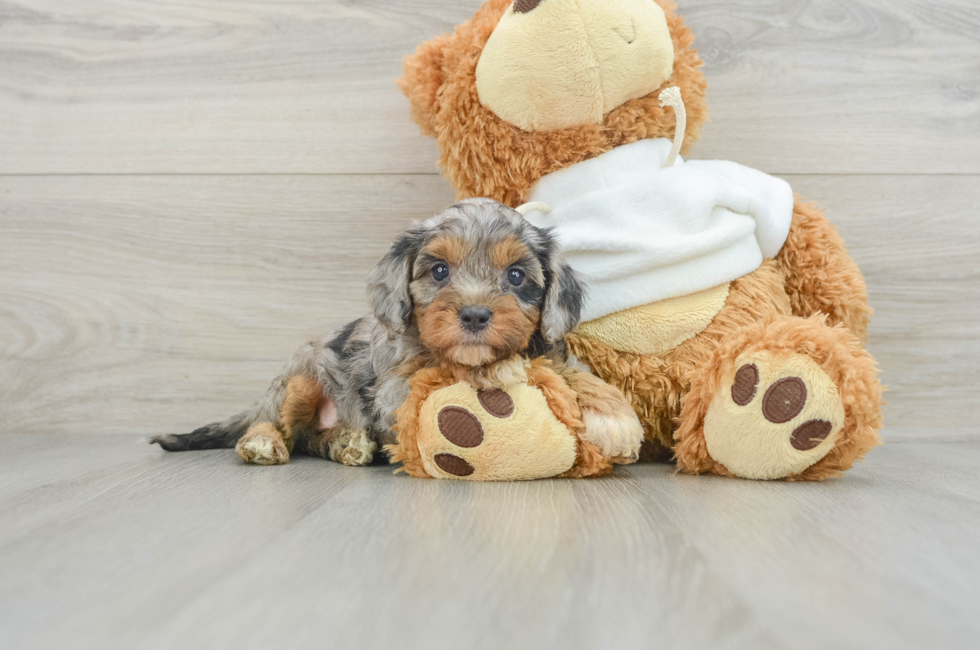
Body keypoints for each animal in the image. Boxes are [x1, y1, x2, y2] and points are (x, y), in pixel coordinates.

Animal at [151, 197, 644, 466]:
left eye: (517, 276)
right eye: (439, 271)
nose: (475, 316)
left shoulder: (552, 351)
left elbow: (575, 373)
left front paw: (615, 418)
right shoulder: (395, 389)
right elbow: (448, 371)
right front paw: (496, 371)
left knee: (312, 438)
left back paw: (348, 443)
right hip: (300, 375)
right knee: (276, 423)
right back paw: (263, 442)